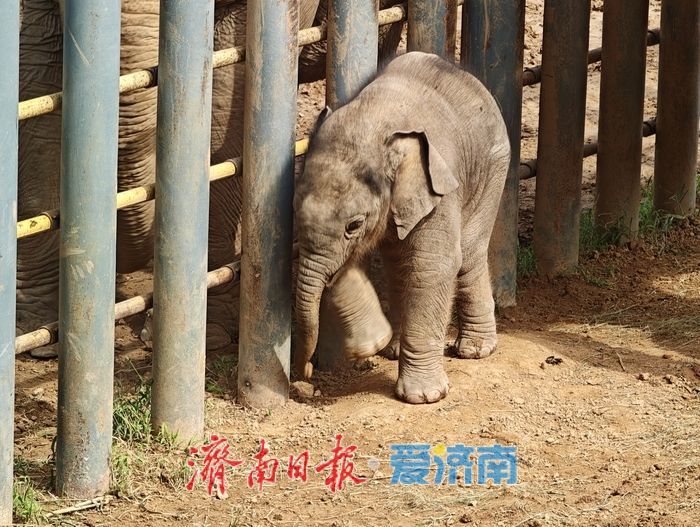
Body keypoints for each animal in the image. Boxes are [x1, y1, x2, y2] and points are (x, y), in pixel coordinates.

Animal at [293, 52, 511, 404]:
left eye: (354, 225)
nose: (308, 375)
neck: (375, 119)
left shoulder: (440, 190)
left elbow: (432, 266)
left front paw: (423, 397)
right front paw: (373, 344)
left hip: (492, 167)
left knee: (468, 255)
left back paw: (475, 350)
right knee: (398, 263)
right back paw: (393, 349)